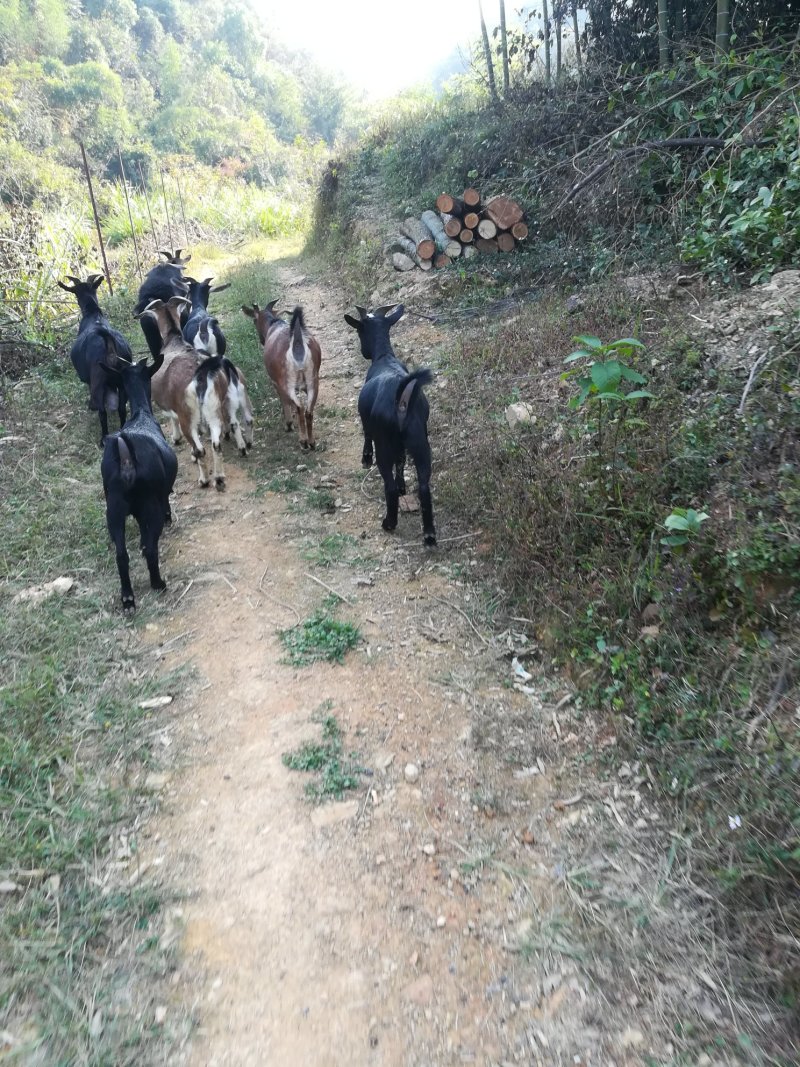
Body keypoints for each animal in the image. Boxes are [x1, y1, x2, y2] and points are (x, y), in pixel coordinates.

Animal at [58, 275, 130, 446]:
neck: (93, 314)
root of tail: (109, 345)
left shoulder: (90, 381)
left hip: (98, 383)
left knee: (102, 413)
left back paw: (103, 438)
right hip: (123, 380)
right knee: (122, 408)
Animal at [99, 337, 178, 614]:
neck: (141, 414)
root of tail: (126, 454)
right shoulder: (160, 497)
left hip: (113, 507)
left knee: (121, 554)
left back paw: (128, 598)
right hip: (149, 504)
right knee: (150, 548)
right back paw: (158, 583)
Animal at [241, 303, 322, 448]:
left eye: (254, 321)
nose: (261, 340)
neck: (273, 325)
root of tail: (297, 343)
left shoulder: (275, 382)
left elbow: (284, 402)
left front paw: (289, 424)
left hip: (286, 383)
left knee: (299, 407)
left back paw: (303, 441)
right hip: (313, 380)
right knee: (308, 411)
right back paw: (312, 442)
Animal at [345, 305, 439, 546]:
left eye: (359, 331)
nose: (364, 352)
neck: (384, 357)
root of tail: (401, 400)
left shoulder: (369, 425)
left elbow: (366, 436)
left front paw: (365, 458)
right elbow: (401, 460)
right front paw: (403, 484)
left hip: (385, 443)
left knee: (389, 486)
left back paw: (389, 522)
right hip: (420, 440)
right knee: (423, 484)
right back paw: (429, 533)